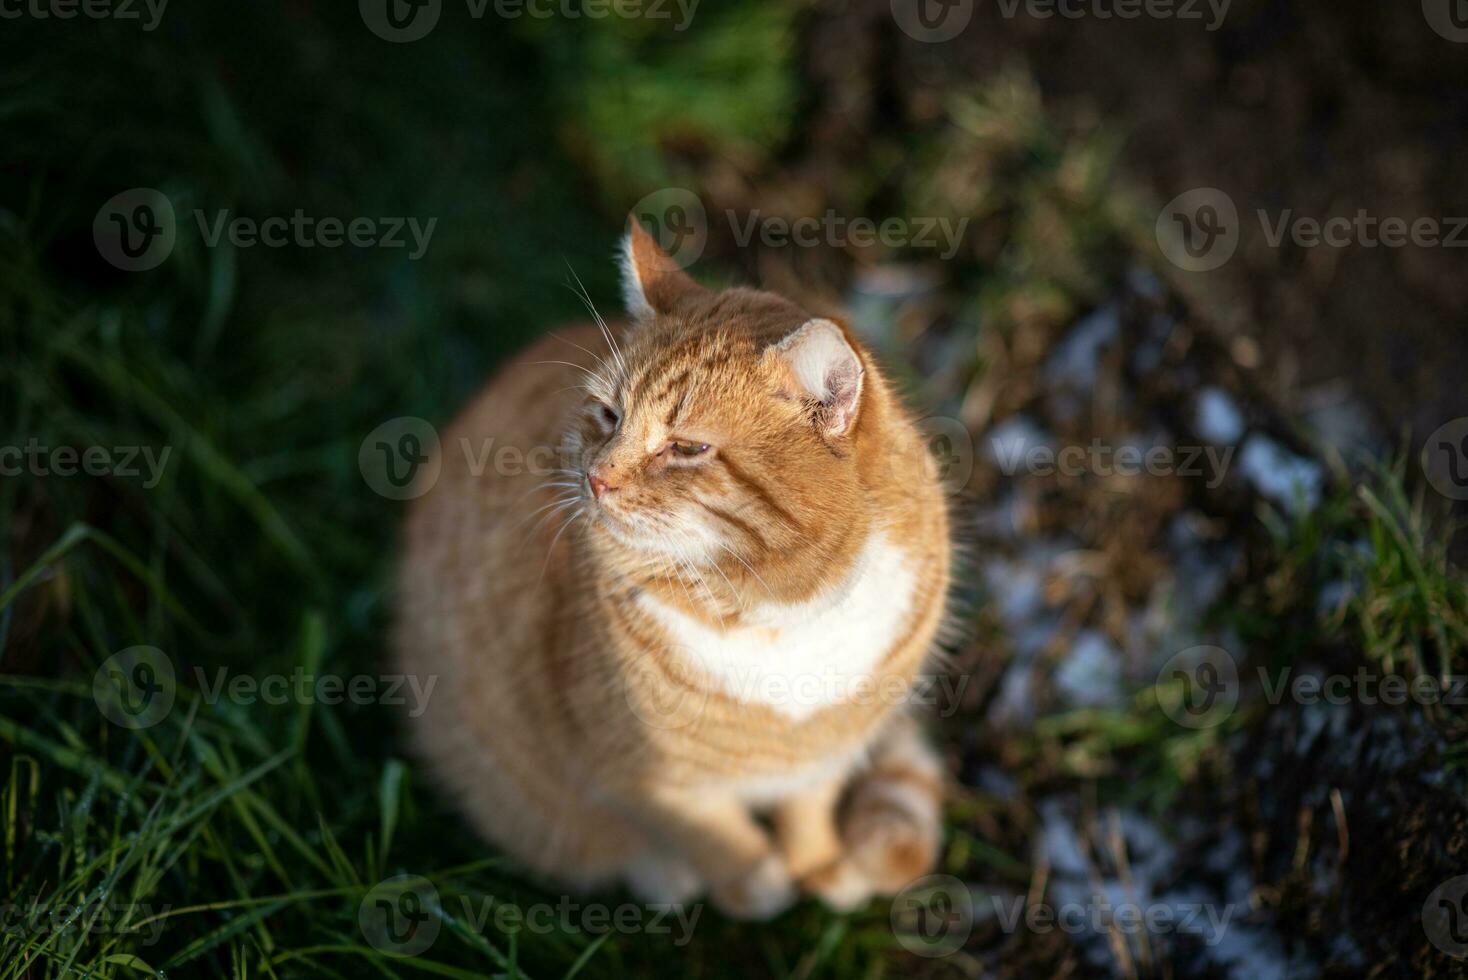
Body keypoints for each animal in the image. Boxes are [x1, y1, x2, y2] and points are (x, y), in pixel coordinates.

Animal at [396, 224, 957, 921]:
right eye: (608, 415)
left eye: (687, 447)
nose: (596, 477)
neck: (782, 603)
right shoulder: (642, 774)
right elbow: (710, 831)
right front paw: (756, 885)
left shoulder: (833, 746)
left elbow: (810, 805)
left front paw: (819, 864)